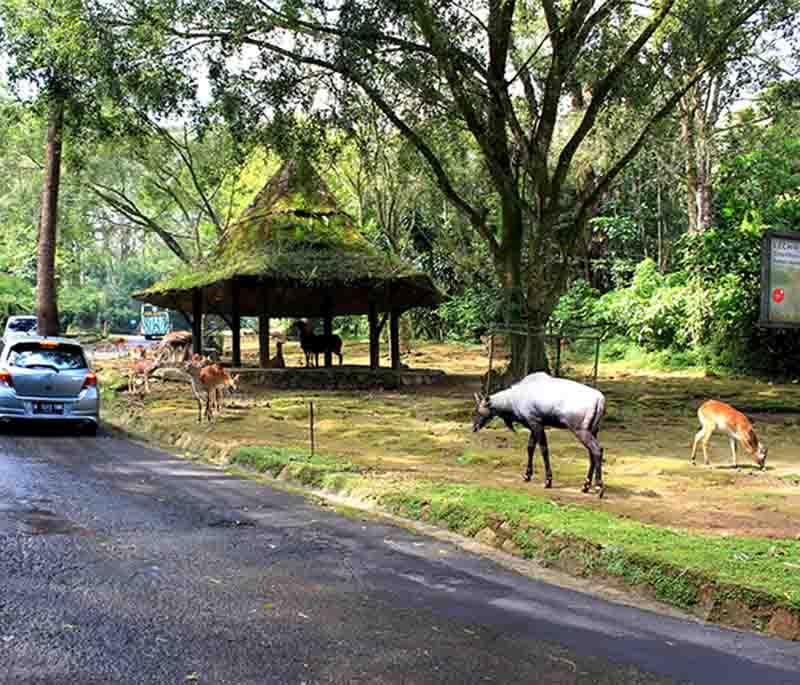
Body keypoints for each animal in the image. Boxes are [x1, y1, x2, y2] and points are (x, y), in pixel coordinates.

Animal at [468, 372, 608, 494]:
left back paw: (598, 486)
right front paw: (527, 475)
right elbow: (530, 447)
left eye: (479, 411)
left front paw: (548, 481)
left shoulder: (535, 422)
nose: (474, 427)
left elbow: (543, 449)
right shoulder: (533, 425)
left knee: (597, 449)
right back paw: (586, 485)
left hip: (580, 429)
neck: (512, 401)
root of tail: (600, 400)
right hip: (593, 430)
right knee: (592, 452)